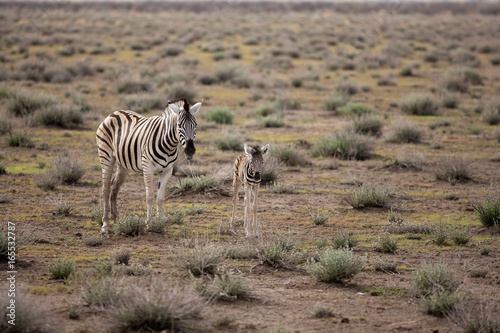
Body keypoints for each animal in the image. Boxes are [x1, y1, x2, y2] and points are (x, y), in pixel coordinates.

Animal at [96, 96, 202, 232]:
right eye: (179, 125)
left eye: (195, 125)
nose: (190, 151)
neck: (168, 145)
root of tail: (114, 113)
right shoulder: (148, 169)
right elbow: (150, 197)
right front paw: (149, 223)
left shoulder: (167, 171)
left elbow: (160, 198)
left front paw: (160, 224)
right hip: (106, 157)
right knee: (106, 188)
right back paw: (105, 224)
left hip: (123, 163)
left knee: (114, 186)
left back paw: (116, 220)